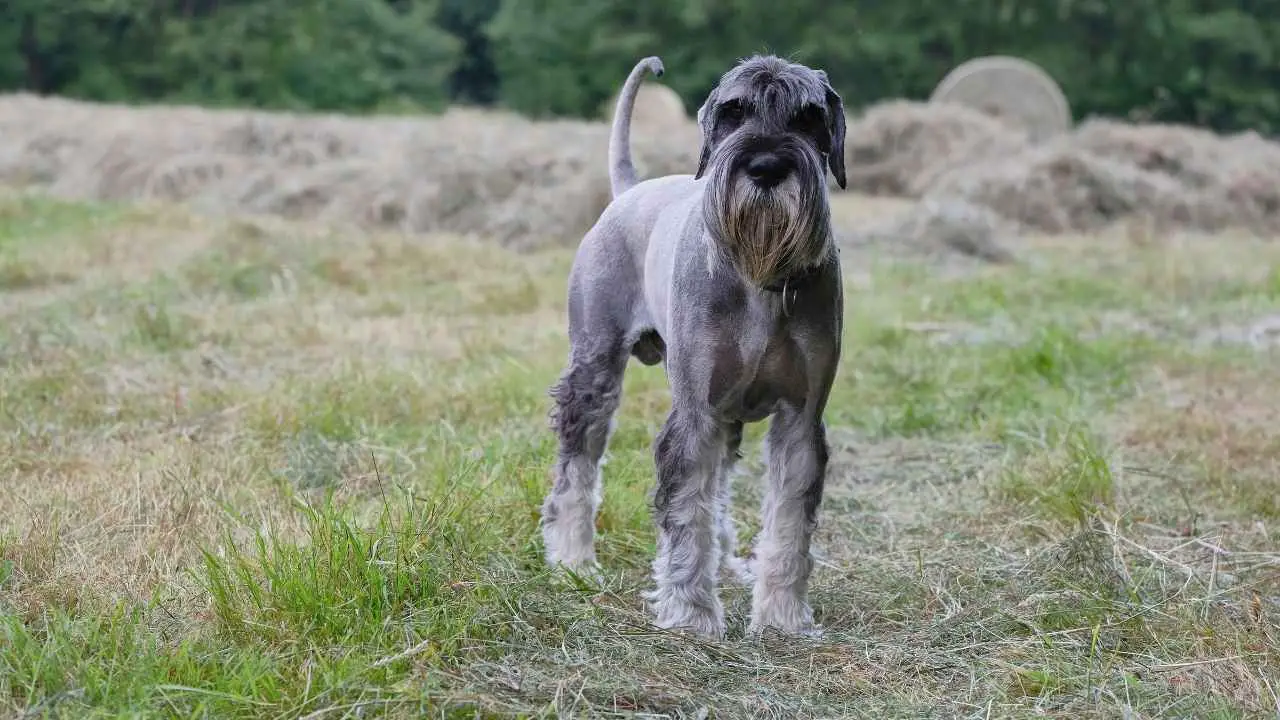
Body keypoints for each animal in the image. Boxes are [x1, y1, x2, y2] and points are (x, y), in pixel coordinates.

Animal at [540, 53, 849, 635]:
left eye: (808, 117)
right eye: (733, 112)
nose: (766, 167)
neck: (760, 277)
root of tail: (629, 191)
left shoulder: (800, 420)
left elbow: (789, 522)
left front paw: (782, 615)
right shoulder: (695, 414)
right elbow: (687, 513)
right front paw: (690, 612)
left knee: (721, 488)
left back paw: (727, 564)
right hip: (594, 371)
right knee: (578, 463)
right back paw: (573, 559)